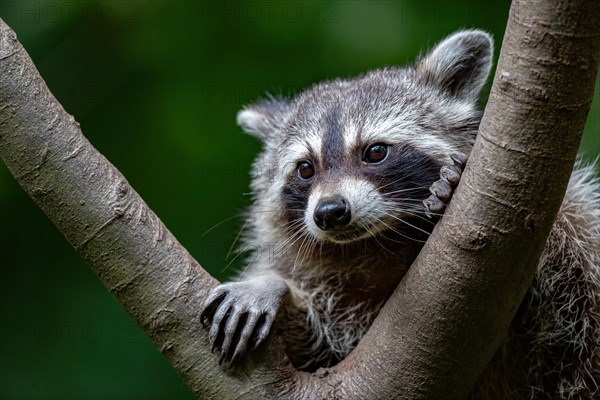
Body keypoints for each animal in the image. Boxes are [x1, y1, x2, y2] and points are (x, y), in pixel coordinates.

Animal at [202, 29, 600, 398]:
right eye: (305, 169)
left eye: (376, 151)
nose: (330, 212)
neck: (381, 243)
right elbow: (317, 352)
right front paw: (273, 287)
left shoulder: (575, 229)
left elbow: (573, 285)